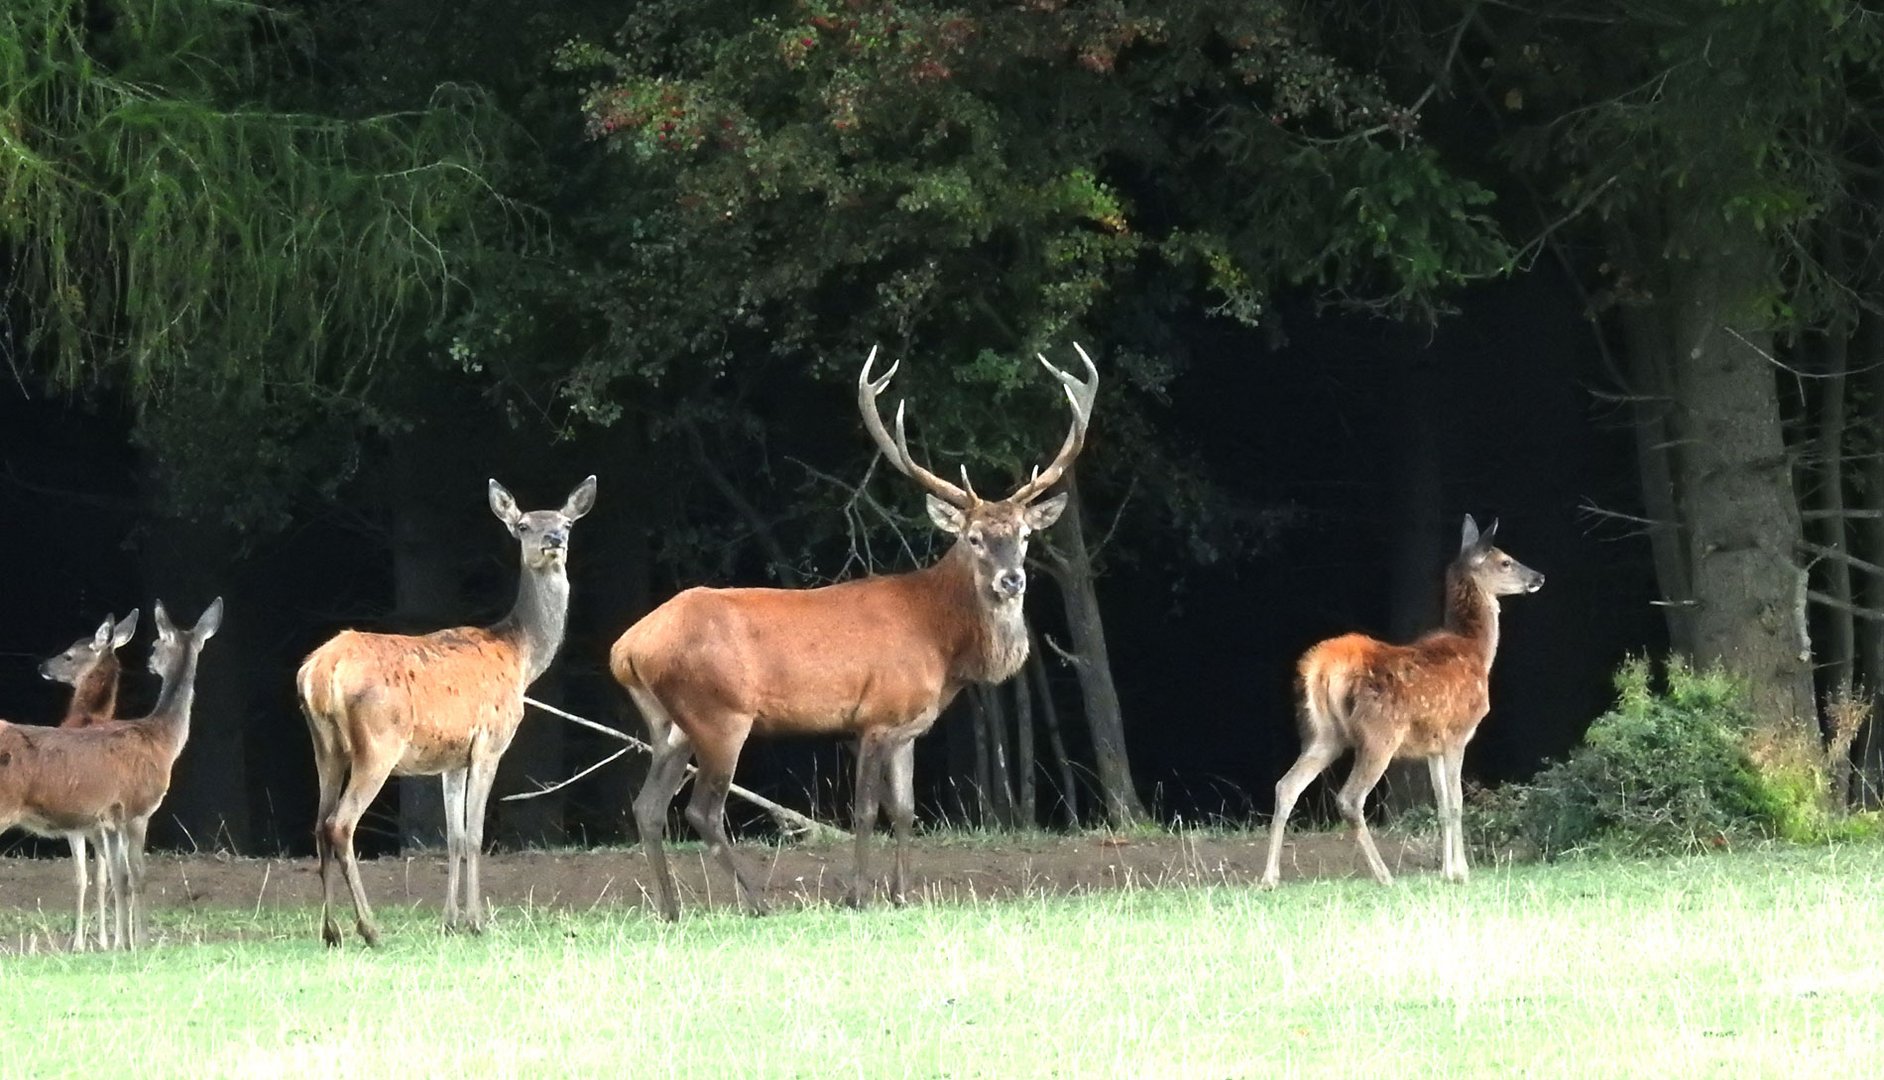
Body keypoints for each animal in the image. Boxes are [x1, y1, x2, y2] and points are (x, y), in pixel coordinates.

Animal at [0, 595, 220, 946]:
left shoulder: (108, 819)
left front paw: (120, 942)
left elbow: (118, 877)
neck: (161, 740)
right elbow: (137, 876)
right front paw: (140, 940)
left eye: (154, 645)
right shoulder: (136, 809)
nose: (149, 662)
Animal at [297, 473, 591, 942]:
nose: (554, 540)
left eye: (567, 522)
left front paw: (449, 920)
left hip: (324, 746)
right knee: (339, 825)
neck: (520, 657)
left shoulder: (452, 759)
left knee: (319, 824)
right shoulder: (490, 743)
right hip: (377, 744)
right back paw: (370, 928)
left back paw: (332, 931)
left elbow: (452, 837)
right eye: (523, 525)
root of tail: (319, 671)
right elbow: (474, 834)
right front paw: (476, 921)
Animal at [610, 344, 1100, 919]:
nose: (1012, 579)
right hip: (719, 714)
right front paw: (858, 895)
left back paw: (672, 908)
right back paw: (758, 902)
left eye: (1023, 535)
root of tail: (625, 648)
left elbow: (907, 810)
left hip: (668, 723)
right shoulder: (875, 716)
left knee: (647, 807)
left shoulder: (910, 726)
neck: (941, 646)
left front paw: (903, 894)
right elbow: (867, 811)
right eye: (974, 537)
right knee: (701, 811)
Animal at [1266, 512, 1544, 885]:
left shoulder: (1433, 744)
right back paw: (1384, 875)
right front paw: (1462, 872)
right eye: (1505, 561)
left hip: (1322, 734)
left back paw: (1269, 878)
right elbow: (1456, 802)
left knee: (1286, 786)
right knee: (1349, 798)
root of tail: (1322, 667)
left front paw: (1447, 871)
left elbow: (1441, 805)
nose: (1538, 577)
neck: (1477, 652)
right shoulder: (1457, 732)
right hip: (1378, 733)